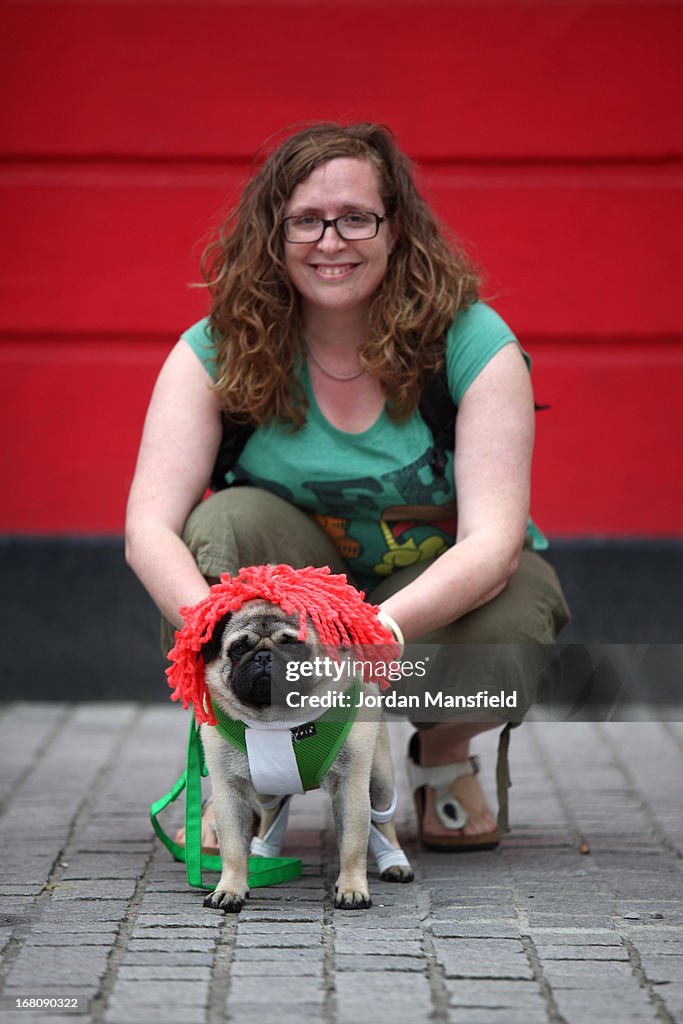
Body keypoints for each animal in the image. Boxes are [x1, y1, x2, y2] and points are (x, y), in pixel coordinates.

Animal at [194, 598, 413, 913]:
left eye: (294, 646)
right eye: (238, 648)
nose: (263, 656)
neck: (279, 721)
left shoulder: (351, 786)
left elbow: (352, 844)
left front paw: (352, 888)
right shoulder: (229, 791)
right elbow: (233, 848)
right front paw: (230, 888)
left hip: (380, 775)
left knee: (383, 818)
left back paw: (394, 862)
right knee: (271, 811)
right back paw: (263, 854)